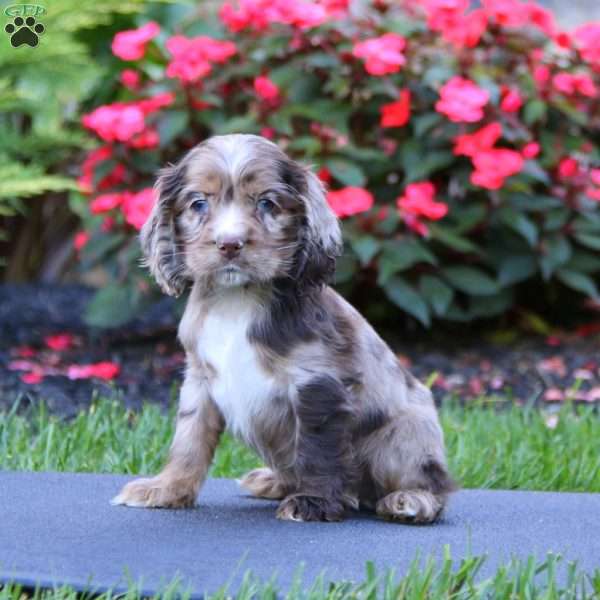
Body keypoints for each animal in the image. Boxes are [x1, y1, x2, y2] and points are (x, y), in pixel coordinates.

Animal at [111, 134, 454, 524]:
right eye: (198, 203)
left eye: (266, 203)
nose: (229, 244)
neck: (237, 299)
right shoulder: (199, 378)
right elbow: (189, 438)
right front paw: (167, 489)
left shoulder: (316, 383)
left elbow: (317, 447)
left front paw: (313, 502)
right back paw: (272, 481)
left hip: (403, 433)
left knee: (435, 485)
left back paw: (409, 500)